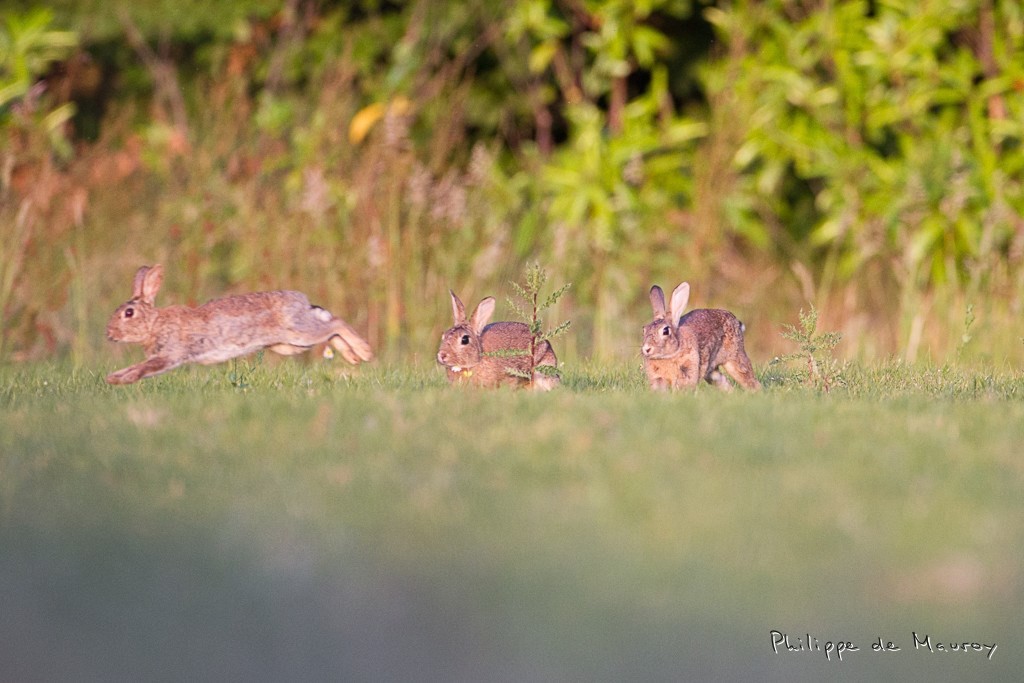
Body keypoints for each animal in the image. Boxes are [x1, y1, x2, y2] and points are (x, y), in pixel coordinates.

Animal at [105, 264, 373, 384]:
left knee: (336, 324)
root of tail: (304, 302)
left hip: (299, 333)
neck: (154, 323)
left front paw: (120, 380)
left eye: (128, 313)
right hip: (289, 345)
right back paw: (353, 357)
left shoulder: (171, 354)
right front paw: (113, 377)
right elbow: (137, 365)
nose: (109, 334)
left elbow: (144, 368)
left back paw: (365, 352)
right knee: (330, 332)